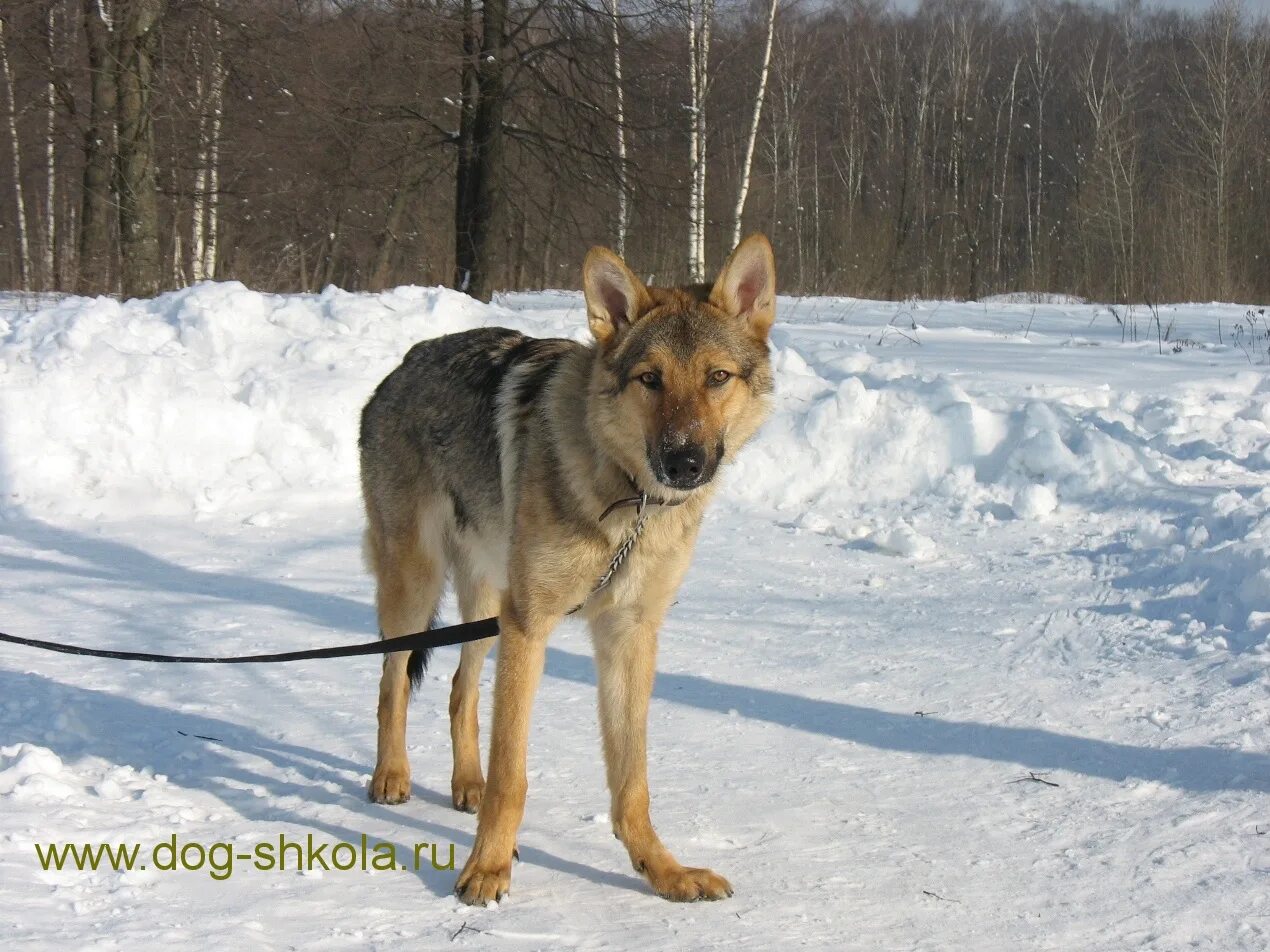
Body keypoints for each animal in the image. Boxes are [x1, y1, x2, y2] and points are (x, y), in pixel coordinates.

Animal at [355, 234, 772, 903]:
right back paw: (392, 775)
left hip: (485, 605)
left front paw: (664, 872)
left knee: (460, 689)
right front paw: (487, 869)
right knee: (392, 682)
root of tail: (401, 365)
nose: (684, 463)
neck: (630, 502)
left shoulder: (628, 635)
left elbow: (632, 783)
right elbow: (512, 776)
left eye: (717, 378)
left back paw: (465, 785)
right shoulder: (532, 625)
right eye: (650, 380)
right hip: (417, 586)